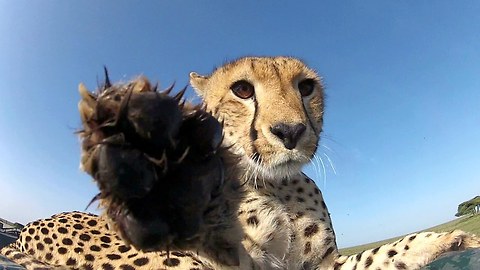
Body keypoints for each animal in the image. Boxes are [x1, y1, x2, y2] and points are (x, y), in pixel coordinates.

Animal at [0, 56, 480, 268]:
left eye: (306, 87)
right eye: (242, 90)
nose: (290, 131)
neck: (273, 184)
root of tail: (27, 226)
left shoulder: (320, 265)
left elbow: (382, 254)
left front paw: (448, 240)